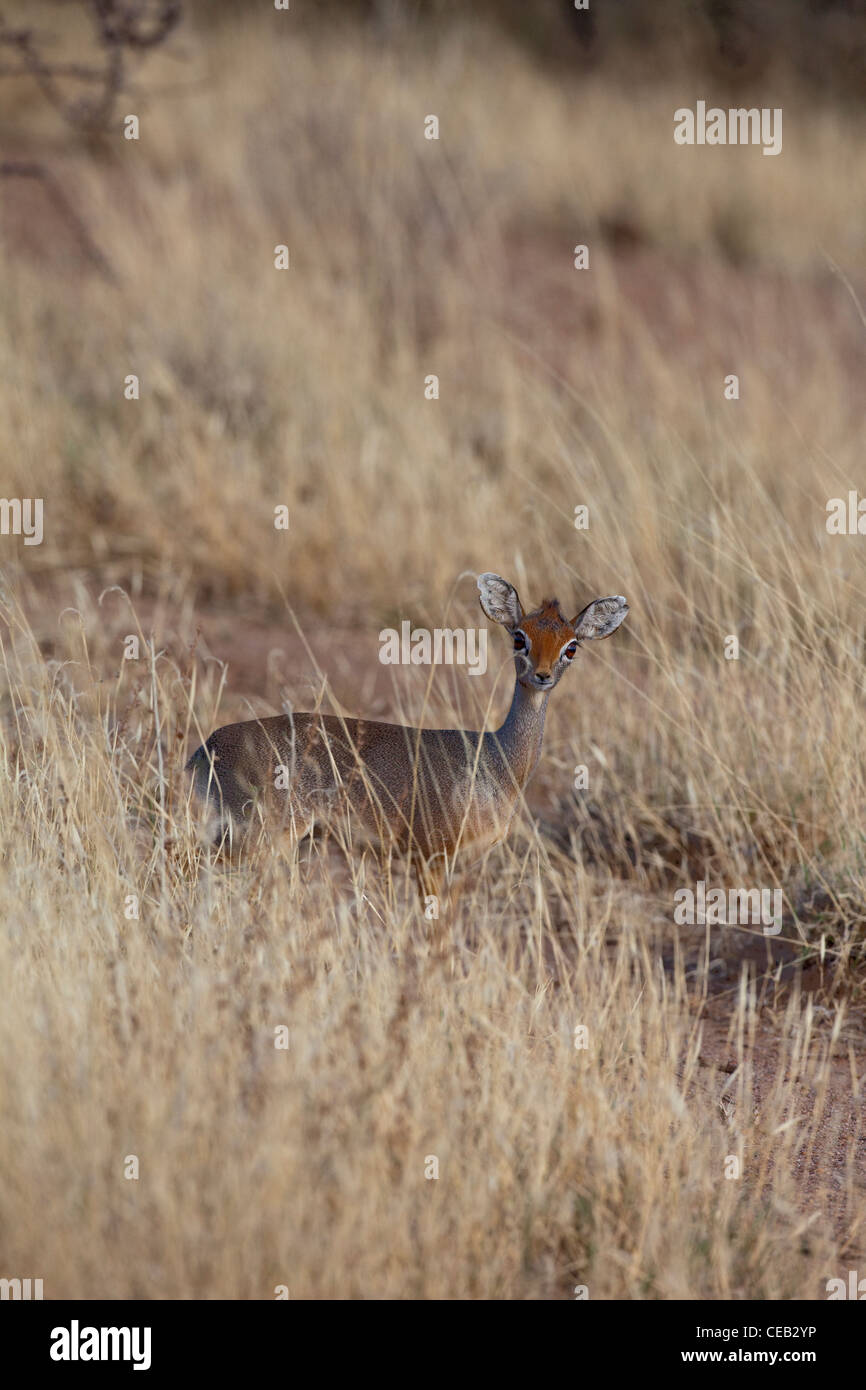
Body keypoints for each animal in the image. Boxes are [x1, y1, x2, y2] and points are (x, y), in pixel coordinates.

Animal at [187, 575, 631, 900]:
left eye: (571, 646)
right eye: (519, 637)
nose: (542, 675)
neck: (496, 762)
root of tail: (206, 750)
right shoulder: (431, 856)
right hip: (260, 839)